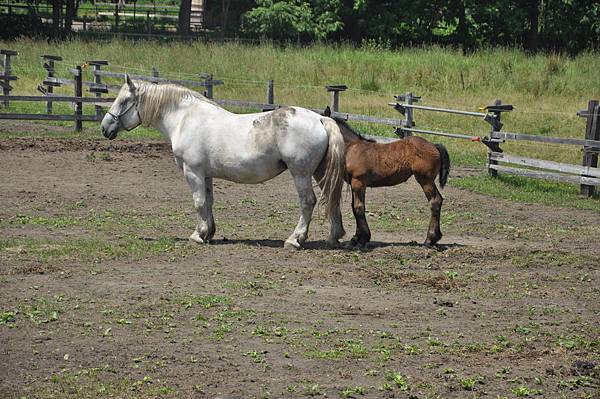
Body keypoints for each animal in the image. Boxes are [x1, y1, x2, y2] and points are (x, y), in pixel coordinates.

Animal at [101, 76, 344, 248]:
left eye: (124, 101)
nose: (104, 128)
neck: (184, 119)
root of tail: (320, 118)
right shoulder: (205, 174)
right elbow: (208, 202)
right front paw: (208, 233)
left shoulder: (193, 172)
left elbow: (198, 202)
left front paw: (197, 235)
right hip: (319, 172)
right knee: (332, 198)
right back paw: (335, 236)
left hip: (300, 173)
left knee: (308, 202)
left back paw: (295, 239)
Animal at [326, 108, 452, 248]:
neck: (352, 148)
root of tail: (434, 145)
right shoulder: (354, 184)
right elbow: (354, 207)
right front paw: (356, 238)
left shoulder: (358, 182)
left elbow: (359, 207)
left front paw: (362, 238)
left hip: (425, 180)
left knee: (435, 201)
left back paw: (430, 239)